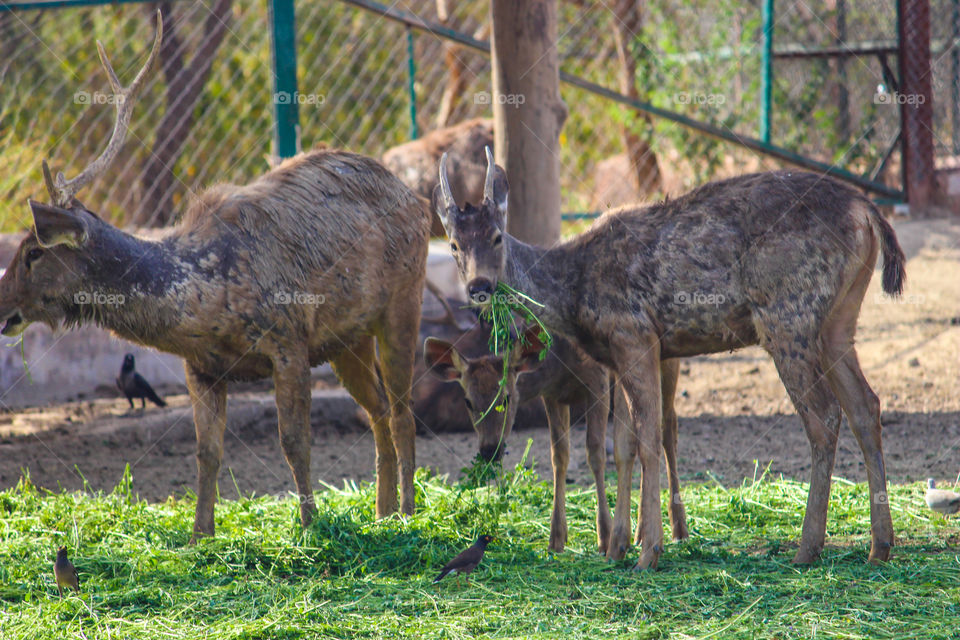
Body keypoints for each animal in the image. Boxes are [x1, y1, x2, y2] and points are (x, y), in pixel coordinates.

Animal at [0, 13, 430, 540]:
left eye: (34, 252)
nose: (2, 304)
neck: (205, 299)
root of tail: (417, 197)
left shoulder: (288, 341)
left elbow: (294, 441)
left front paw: (310, 528)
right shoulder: (201, 366)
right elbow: (206, 452)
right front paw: (199, 535)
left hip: (403, 302)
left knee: (404, 412)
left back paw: (408, 513)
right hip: (347, 339)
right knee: (378, 412)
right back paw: (382, 514)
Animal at [424, 328, 688, 552]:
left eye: (507, 398)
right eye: (468, 401)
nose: (490, 450)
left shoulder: (598, 381)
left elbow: (595, 453)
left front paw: (604, 536)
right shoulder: (552, 395)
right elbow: (559, 456)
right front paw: (556, 538)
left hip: (665, 357)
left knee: (668, 427)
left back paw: (678, 529)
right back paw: (641, 533)